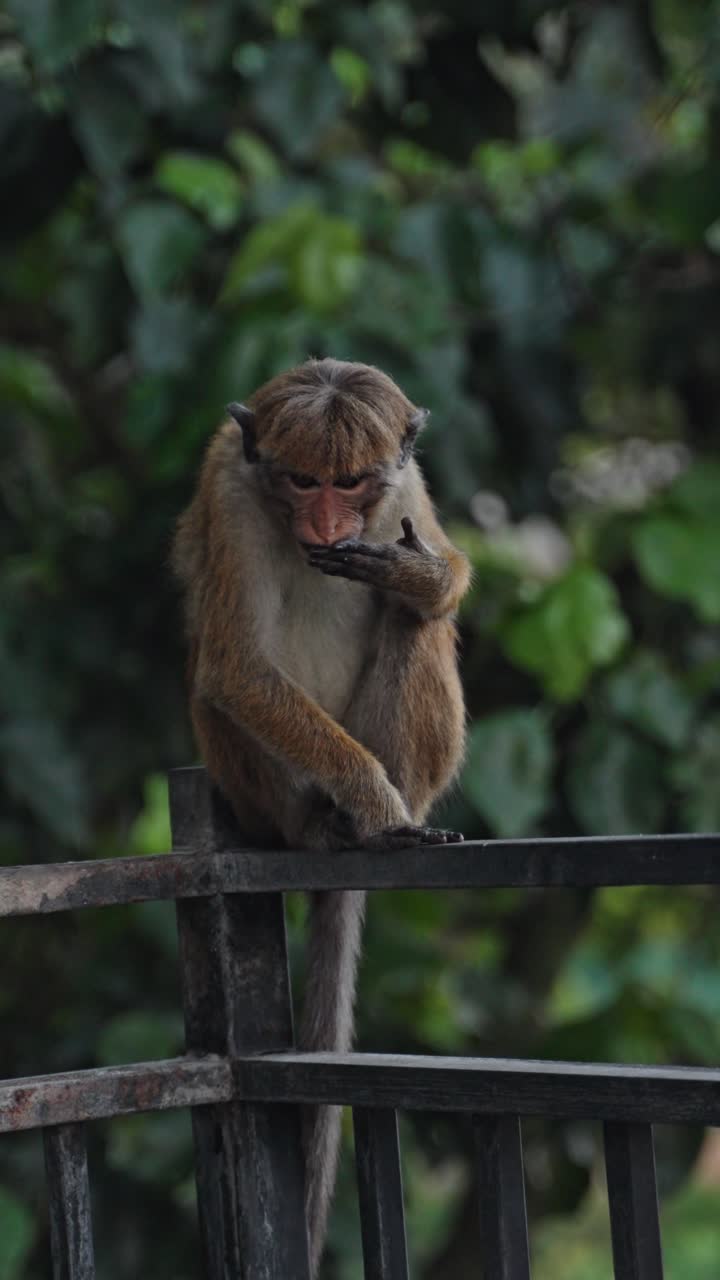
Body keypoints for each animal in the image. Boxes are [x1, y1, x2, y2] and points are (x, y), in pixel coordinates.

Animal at [172, 357, 470, 1276]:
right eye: (301, 481)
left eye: (351, 481)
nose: (328, 518)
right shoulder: (231, 493)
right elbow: (237, 666)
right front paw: (371, 800)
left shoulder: (405, 486)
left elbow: (439, 573)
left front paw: (418, 576)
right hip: (260, 787)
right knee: (223, 684)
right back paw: (345, 825)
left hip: (421, 766)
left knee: (419, 630)